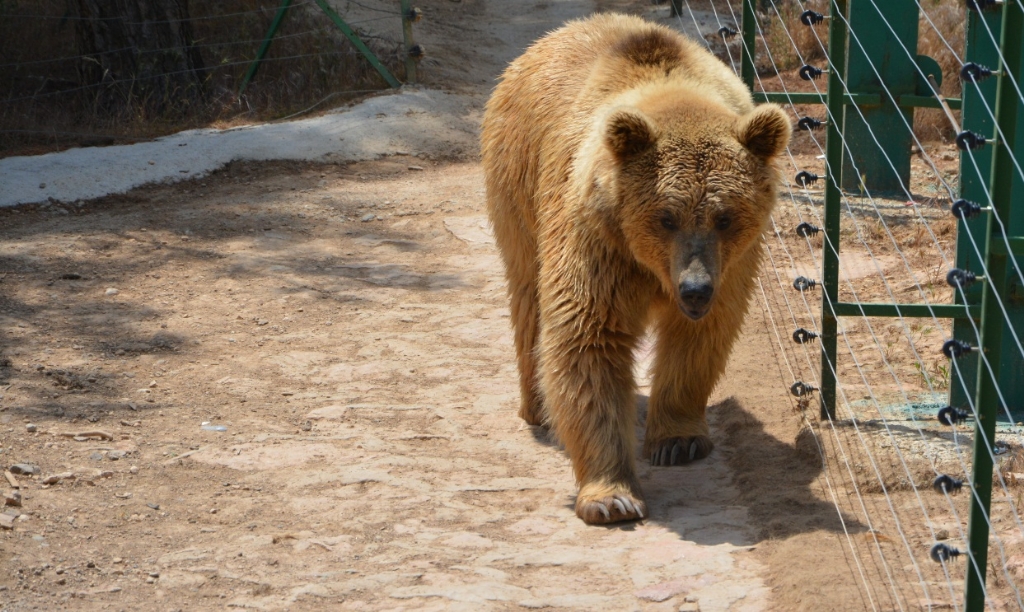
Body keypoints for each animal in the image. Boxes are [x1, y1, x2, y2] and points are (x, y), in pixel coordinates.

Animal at [481, 12, 790, 523]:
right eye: (666, 216)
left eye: (725, 216)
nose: (694, 288)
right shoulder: (599, 238)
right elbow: (588, 338)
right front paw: (612, 496)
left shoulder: (733, 264)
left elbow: (699, 338)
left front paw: (678, 440)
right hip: (517, 182)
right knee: (527, 293)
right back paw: (538, 404)